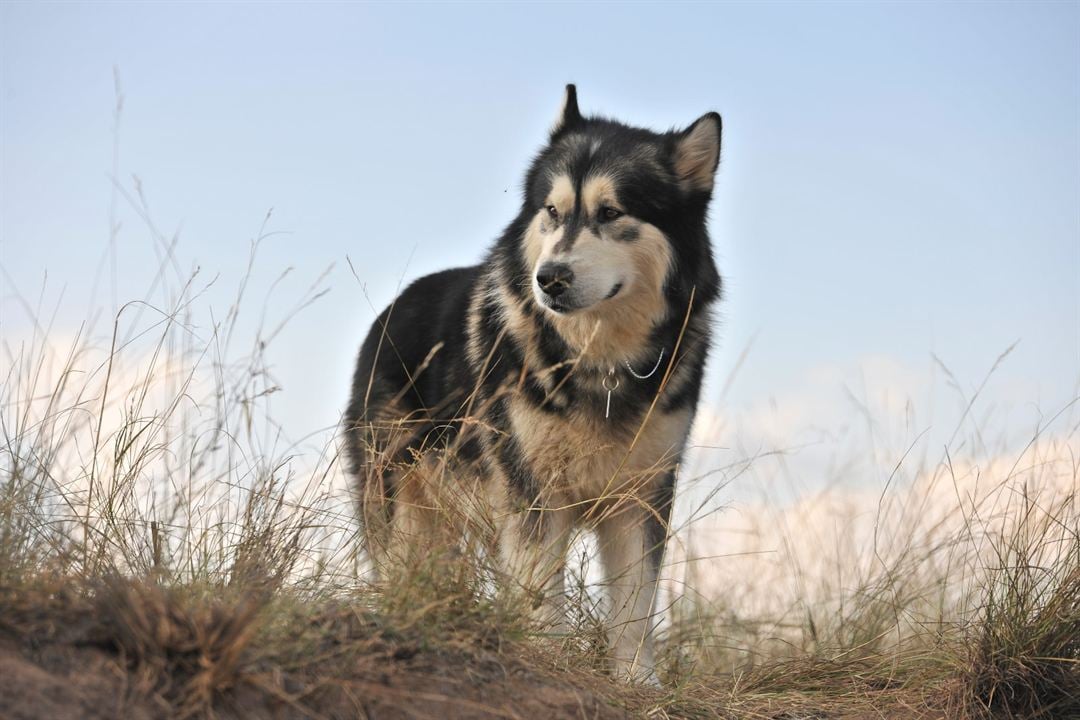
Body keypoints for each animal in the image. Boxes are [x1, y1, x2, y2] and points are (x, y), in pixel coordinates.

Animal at [341, 87, 721, 686]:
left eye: (611, 213)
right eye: (553, 211)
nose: (550, 279)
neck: (598, 363)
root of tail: (394, 306)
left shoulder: (642, 497)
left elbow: (635, 607)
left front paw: (638, 682)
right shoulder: (532, 492)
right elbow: (543, 598)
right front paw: (550, 662)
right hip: (401, 503)